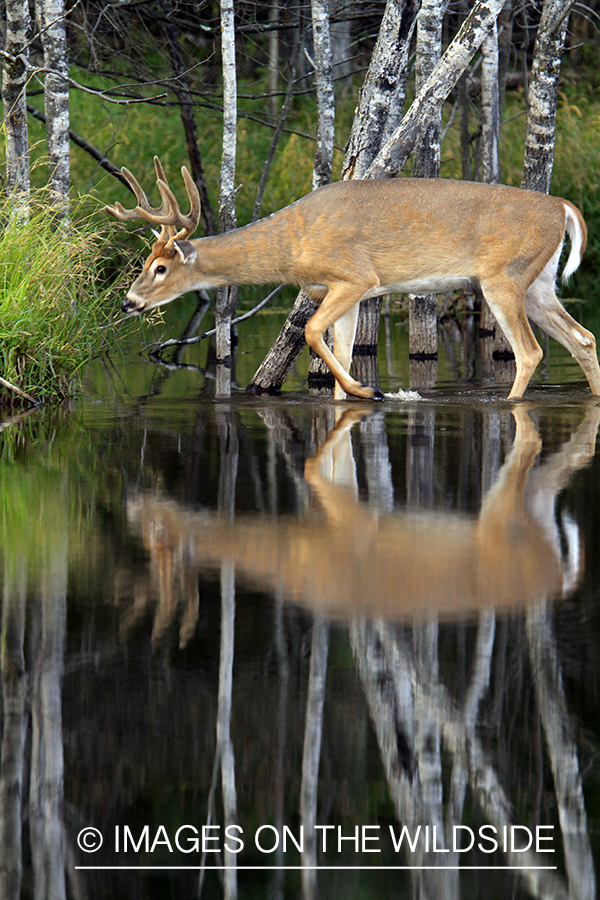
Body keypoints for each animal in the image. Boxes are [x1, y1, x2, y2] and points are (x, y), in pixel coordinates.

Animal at [105, 157, 600, 400]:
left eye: (160, 268)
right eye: (144, 262)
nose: (129, 301)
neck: (294, 244)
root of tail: (562, 206)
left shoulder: (354, 278)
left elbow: (310, 330)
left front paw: (368, 390)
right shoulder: (343, 291)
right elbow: (338, 349)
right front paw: (352, 395)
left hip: (504, 278)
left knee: (531, 352)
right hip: (539, 283)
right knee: (584, 338)